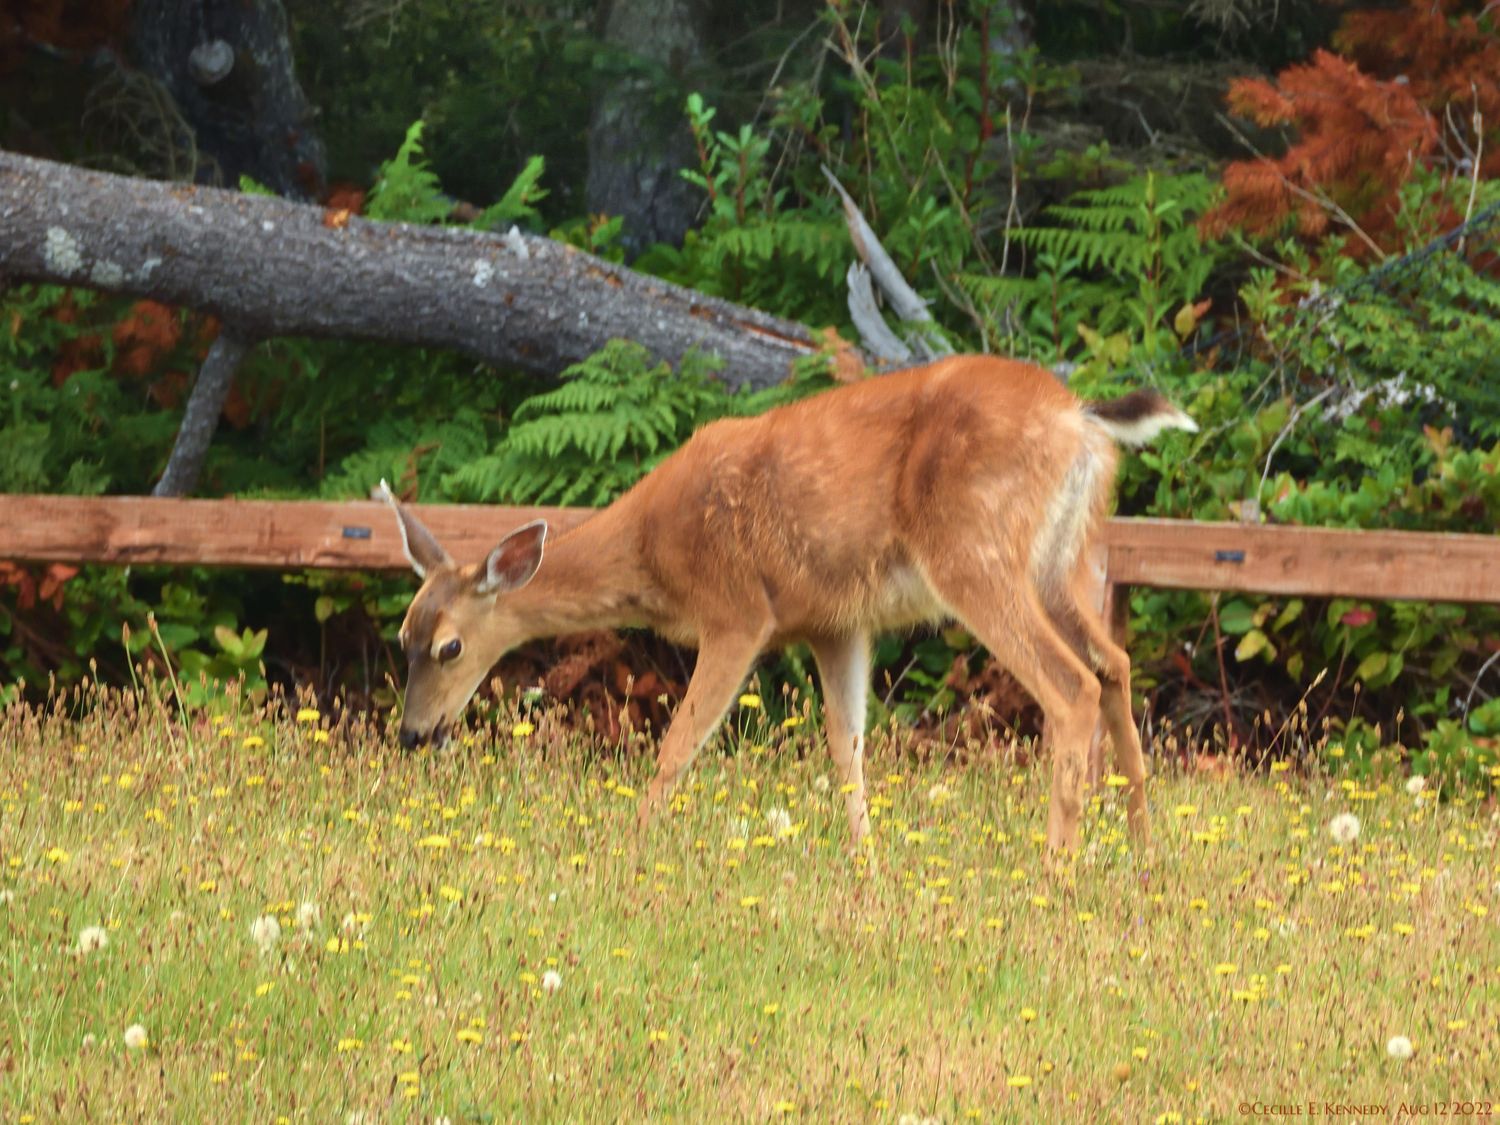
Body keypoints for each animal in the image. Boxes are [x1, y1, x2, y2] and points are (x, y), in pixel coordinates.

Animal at [378, 357, 1194, 858]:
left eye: (450, 646)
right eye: (403, 636)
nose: (414, 734)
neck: (652, 552)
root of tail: (1081, 419)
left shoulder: (738, 612)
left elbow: (678, 745)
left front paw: (628, 850)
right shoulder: (835, 622)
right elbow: (846, 748)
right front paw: (867, 870)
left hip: (976, 551)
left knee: (1071, 684)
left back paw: (1056, 870)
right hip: (1068, 559)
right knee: (1115, 663)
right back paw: (1143, 855)